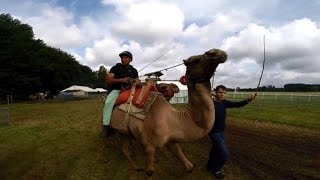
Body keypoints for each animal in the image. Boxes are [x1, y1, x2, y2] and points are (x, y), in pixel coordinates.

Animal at [109, 48, 226, 176]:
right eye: (194, 60)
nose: (217, 52)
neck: (171, 120)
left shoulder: (171, 140)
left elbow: (188, 165)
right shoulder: (148, 144)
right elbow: (150, 171)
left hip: (125, 132)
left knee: (125, 148)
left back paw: (136, 166)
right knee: (119, 141)